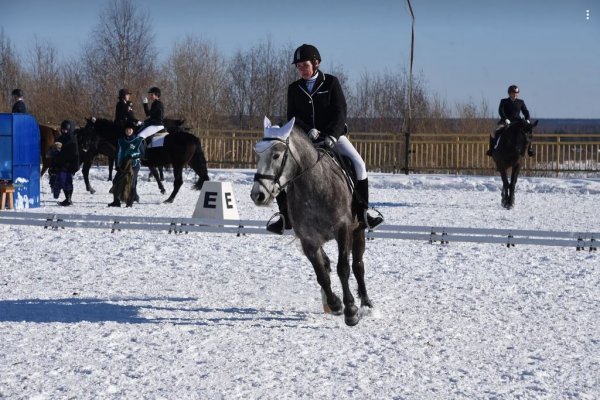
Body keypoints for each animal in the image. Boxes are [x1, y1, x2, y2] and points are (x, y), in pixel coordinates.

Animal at [79, 117, 211, 202]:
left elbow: (135, 179)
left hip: (178, 164)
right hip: (192, 162)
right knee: (204, 177)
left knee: (180, 181)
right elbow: (140, 177)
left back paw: (169, 199)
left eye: (88, 129)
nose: (84, 145)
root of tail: (193, 138)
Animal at [248, 117, 370, 326]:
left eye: (276, 155)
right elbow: (321, 274)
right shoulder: (308, 240)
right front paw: (335, 304)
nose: (258, 195)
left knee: (358, 265)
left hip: (358, 230)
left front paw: (351, 310)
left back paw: (366, 303)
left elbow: (343, 268)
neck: (315, 187)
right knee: (327, 265)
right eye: (258, 154)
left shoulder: (344, 230)